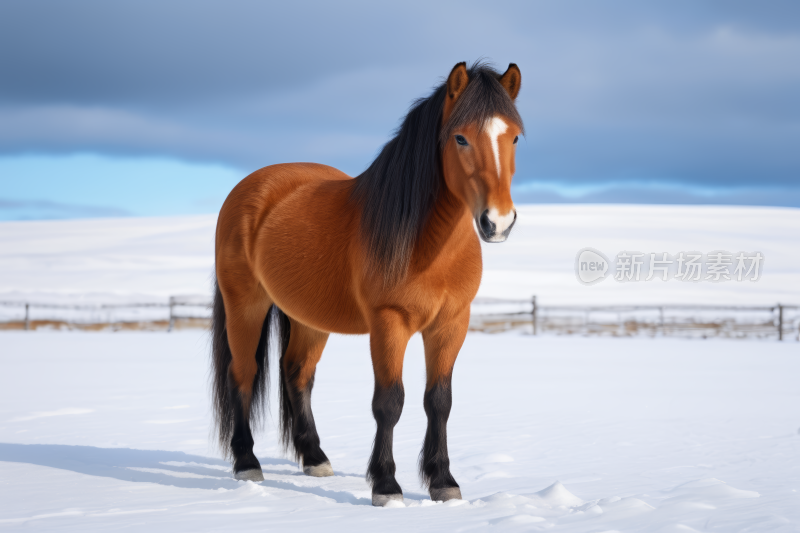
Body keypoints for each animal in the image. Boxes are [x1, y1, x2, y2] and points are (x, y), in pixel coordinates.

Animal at [212, 60, 524, 504]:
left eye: (513, 136)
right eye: (461, 137)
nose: (497, 222)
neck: (426, 243)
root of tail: (248, 188)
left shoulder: (451, 324)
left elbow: (439, 401)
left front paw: (443, 481)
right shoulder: (388, 323)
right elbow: (389, 402)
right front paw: (386, 485)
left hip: (309, 319)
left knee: (297, 374)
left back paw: (315, 457)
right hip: (244, 306)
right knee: (242, 374)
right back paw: (246, 463)